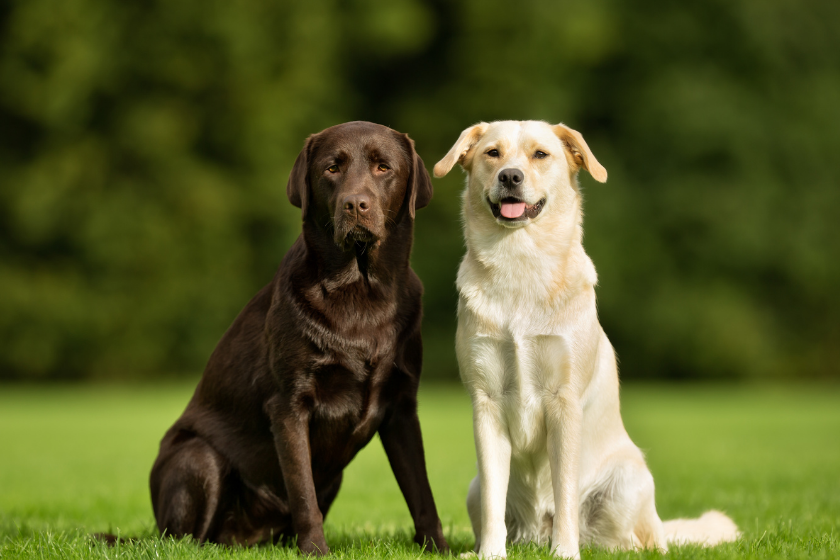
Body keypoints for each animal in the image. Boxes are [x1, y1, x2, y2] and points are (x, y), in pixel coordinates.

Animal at [152, 120, 452, 552]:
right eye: (332, 168)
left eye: (383, 167)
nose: (355, 205)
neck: (361, 292)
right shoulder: (289, 405)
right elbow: (302, 492)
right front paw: (315, 551)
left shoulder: (401, 407)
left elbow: (421, 492)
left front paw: (440, 549)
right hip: (198, 457)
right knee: (184, 537)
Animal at [436, 122, 740, 560]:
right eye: (493, 153)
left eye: (540, 154)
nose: (510, 177)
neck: (520, 261)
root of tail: (537, 530)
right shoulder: (486, 403)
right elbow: (495, 502)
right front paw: (491, 554)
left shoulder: (564, 403)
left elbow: (564, 491)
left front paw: (565, 552)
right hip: (473, 489)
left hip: (629, 480)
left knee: (637, 543)